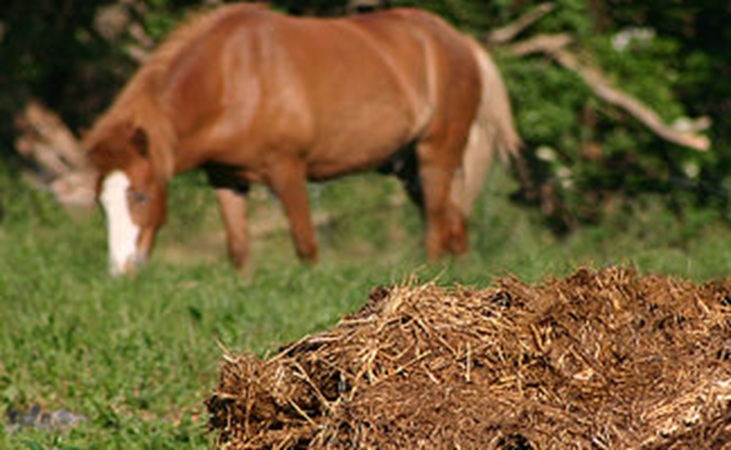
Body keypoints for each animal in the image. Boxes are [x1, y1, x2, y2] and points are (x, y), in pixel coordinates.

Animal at [85, 4, 520, 276]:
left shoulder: (288, 169)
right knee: (454, 222)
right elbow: (238, 249)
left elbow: (306, 244)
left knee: (436, 225)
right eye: (102, 202)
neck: (232, 76)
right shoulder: (226, 178)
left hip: (436, 154)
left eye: (140, 195)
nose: (122, 270)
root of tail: (462, 42)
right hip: (409, 168)